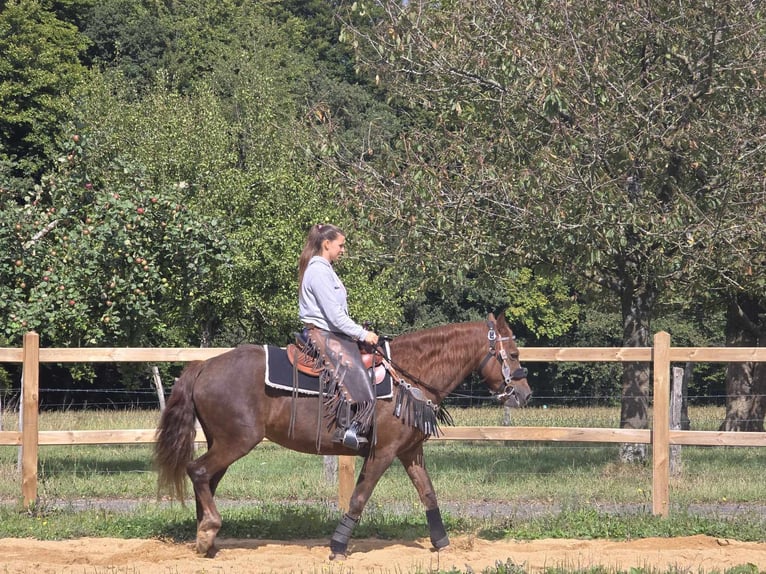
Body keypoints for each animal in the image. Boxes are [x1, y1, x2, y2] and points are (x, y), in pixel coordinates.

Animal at [153, 312, 532, 560]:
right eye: (513, 354)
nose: (524, 394)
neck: (408, 377)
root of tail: (203, 365)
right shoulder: (382, 453)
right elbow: (359, 498)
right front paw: (337, 547)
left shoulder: (410, 452)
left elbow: (428, 494)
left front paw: (443, 544)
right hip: (236, 442)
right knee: (198, 471)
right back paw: (208, 531)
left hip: (223, 443)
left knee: (207, 479)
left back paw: (207, 539)